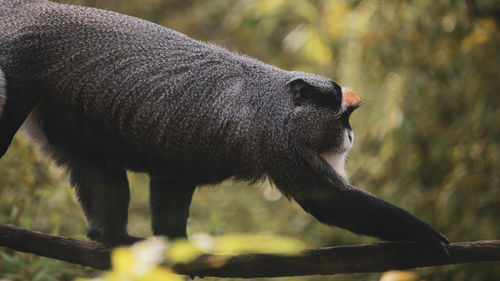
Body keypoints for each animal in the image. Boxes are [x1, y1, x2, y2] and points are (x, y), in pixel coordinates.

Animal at [0, 0, 452, 254]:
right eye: (344, 118)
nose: (352, 136)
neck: (276, 103)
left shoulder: (185, 158)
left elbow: (171, 184)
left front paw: (179, 251)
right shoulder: (279, 145)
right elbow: (329, 202)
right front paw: (424, 234)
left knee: (97, 165)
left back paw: (110, 237)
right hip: (17, 71)